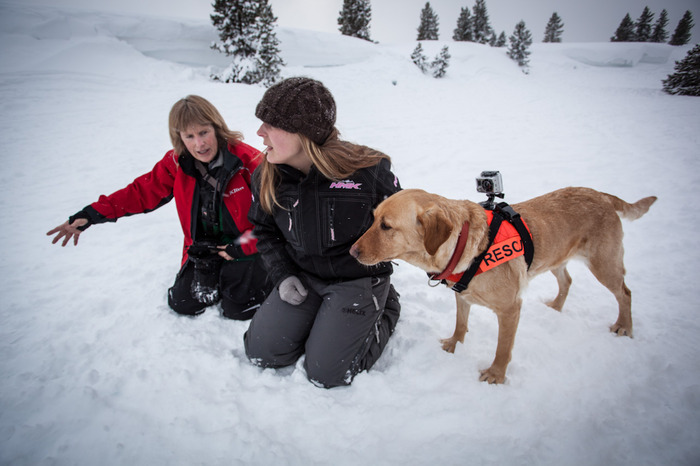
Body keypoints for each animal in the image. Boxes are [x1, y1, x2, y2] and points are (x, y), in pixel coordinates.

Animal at [350, 187, 656, 384]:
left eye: (386, 226)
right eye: (373, 218)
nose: (351, 251)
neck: (465, 247)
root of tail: (601, 194)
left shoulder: (510, 309)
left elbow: (503, 349)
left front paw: (496, 375)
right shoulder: (462, 296)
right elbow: (461, 323)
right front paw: (454, 344)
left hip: (603, 264)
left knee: (625, 293)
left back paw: (624, 326)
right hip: (556, 257)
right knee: (567, 280)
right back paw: (556, 306)